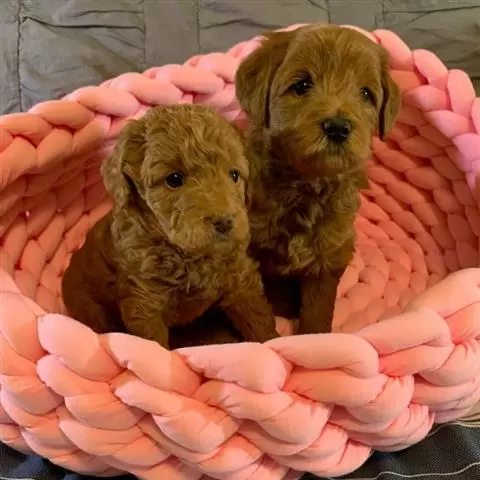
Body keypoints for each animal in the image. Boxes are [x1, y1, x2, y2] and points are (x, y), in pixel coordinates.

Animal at [60, 103, 280, 346]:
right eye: (174, 179)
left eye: (234, 175)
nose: (224, 222)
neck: (190, 255)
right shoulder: (144, 305)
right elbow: (155, 345)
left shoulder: (240, 278)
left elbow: (257, 317)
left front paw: (272, 342)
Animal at [234, 25, 400, 334]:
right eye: (301, 86)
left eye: (366, 94)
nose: (337, 127)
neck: (306, 183)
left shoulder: (330, 251)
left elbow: (318, 305)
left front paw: (314, 337)